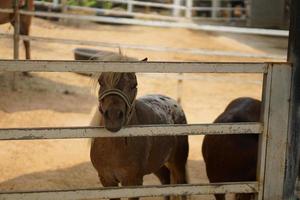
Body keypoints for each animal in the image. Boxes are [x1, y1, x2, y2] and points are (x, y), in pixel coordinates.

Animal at [89, 53, 189, 200]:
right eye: (101, 82)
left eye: (134, 85)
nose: (113, 117)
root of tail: (174, 103)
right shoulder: (107, 180)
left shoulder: (133, 182)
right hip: (158, 164)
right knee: (165, 180)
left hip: (178, 163)